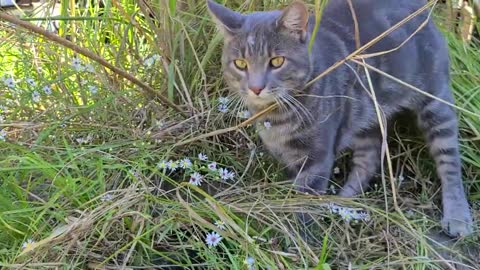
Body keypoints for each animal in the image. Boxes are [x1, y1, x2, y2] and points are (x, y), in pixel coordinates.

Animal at [206, 0, 472, 236]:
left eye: (277, 61)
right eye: (240, 63)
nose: (256, 88)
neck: (276, 116)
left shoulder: (316, 159)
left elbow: (302, 207)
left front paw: (299, 240)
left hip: (435, 103)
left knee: (450, 162)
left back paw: (457, 217)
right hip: (367, 115)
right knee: (368, 160)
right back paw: (343, 205)